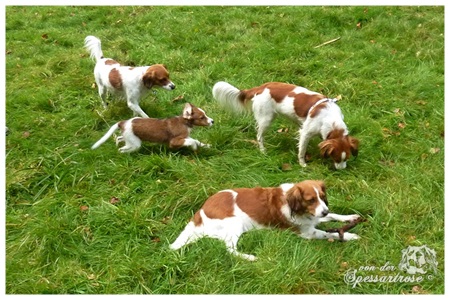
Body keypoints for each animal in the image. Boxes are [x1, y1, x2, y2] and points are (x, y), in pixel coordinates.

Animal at [171, 179, 360, 262]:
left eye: (321, 196)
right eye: (310, 200)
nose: (324, 210)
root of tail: (200, 211)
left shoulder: (316, 217)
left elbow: (334, 215)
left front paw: (350, 217)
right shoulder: (307, 232)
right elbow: (330, 233)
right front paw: (350, 236)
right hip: (234, 222)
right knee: (229, 249)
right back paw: (250, 257)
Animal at [212, 81, 358, 169]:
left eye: (347, 158)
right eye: (336, 158)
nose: (341, 170)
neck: (330, 119)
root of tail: (261, 87)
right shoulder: (306, 133)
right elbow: (302, 150)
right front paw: (303, 164)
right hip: (266, 119)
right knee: (259, 136)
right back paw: (263, 151)